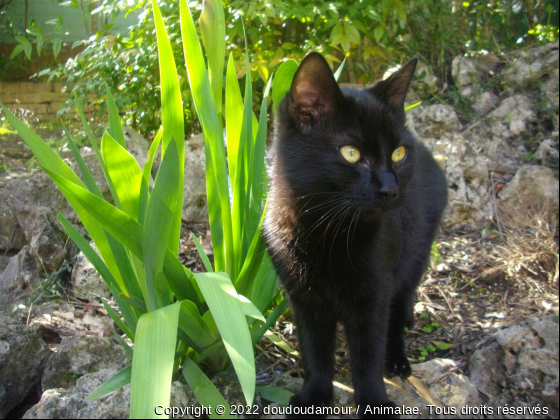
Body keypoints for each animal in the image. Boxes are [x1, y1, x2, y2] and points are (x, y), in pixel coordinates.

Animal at [264, 54, 448, 418]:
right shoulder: (301, 296)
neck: (326, 231)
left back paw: (397, 359)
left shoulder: (374, 291)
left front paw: (373, 401)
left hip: (414, 256)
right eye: (351, 153)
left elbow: (367, 353)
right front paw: (314, 395)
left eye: (398, 153)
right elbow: (314, 349)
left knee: (398, 307)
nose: (390, 188)